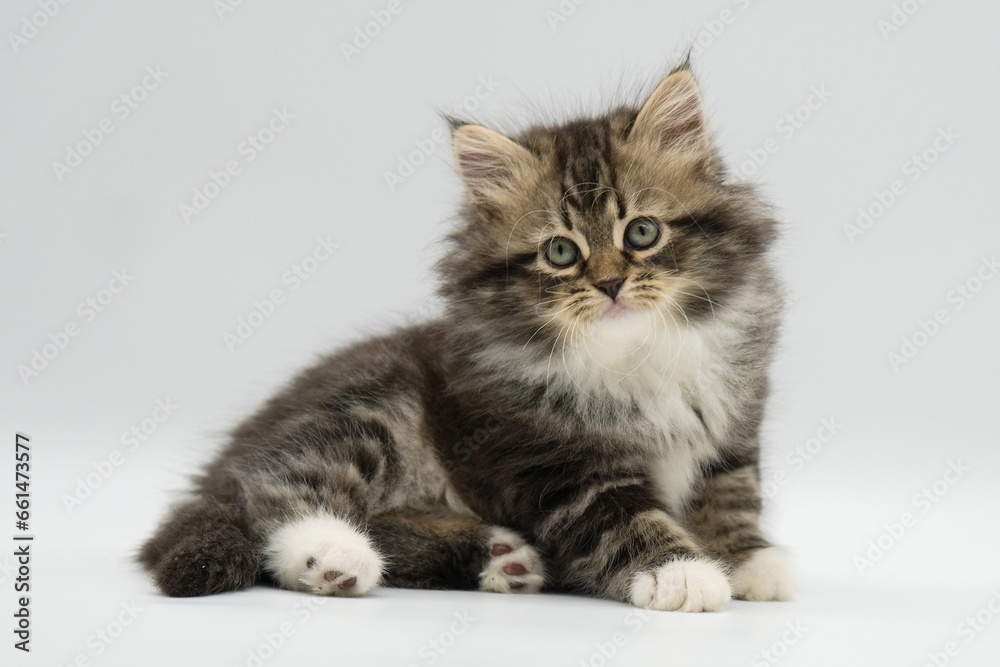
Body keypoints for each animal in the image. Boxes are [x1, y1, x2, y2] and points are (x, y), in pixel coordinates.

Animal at [139, 62, 796, 612]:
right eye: (561, 252)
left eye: (641, 232)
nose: (611, 285)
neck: (633, 356)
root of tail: (222, 463)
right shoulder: (551, 462)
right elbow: (624, 518)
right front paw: (682, 571)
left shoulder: (732, 429)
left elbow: (730, 496)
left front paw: (748, 560)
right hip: (378, 410)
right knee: (275, 489)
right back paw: (334, 556)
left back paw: (500, 558)